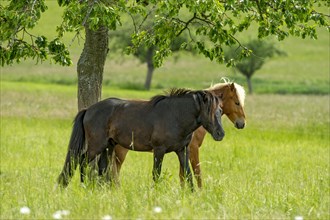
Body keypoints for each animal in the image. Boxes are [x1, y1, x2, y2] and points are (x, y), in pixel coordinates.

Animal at [58, 87, 226, 189]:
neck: (175, 116)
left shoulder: (182, 150)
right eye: (209, 111)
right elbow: (156, 173)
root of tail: (88, 109)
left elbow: (189, 174)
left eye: (220, 110)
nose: (220, 134)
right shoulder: (159, 150)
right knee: (82, 161)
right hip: (96, 146)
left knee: (102, 168)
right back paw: (84, 186)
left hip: (108, 146)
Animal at [98, 81, 245, 188]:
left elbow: (184, 174)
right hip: (120, 151)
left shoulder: (183, 149)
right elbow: (196, 172)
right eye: (237, 102)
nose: (242, 123)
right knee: (114, 170)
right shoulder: (191, 149)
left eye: (220, 110)